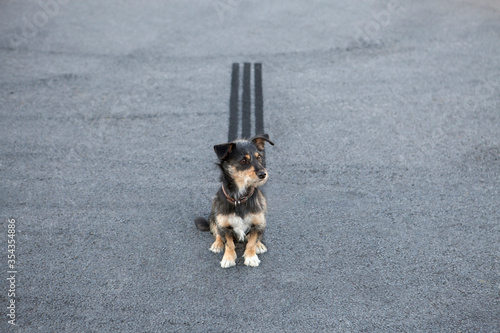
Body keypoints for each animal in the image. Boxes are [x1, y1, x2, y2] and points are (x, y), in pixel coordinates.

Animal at [194, 134, 274, 266]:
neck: (239, 198)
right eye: (243, 161)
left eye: (259, 157)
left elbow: (252, 242)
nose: (263, 174)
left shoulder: (257, 223)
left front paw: (251, 257)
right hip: (213, 215)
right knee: (216, 232)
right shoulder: (224, 226)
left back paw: (259, 245)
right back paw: (217, 244)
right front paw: (228, 258)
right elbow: (229, 243)